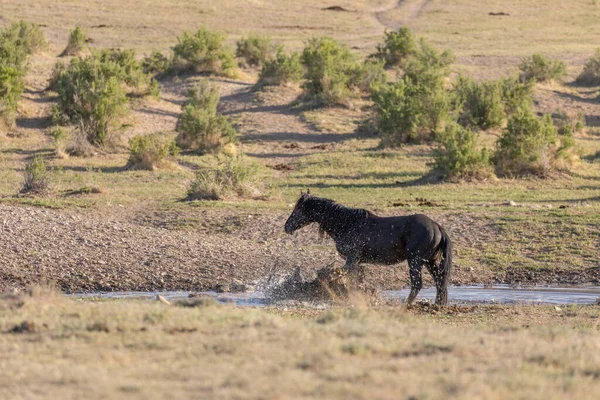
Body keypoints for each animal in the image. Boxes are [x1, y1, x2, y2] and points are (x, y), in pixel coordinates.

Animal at [284, 192, 452, 304]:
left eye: (298, 209)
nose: (286, 227)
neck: (347, 224)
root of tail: (437, 227)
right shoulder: (356, 262)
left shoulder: (352, 258)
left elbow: (341, 274)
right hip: (429, 262)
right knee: (440, 282)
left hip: (415, 261)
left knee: (418, 283)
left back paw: (406, 305)